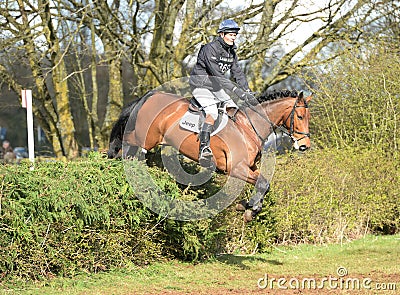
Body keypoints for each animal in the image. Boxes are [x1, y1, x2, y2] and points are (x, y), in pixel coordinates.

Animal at [108, 89, 310, 222]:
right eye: (300, 116)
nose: (304, 146)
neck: (248, 126)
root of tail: (150, 96)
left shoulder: (250, 167)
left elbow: (264, 184)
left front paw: (247, 207)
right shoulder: (236, 168)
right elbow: (263, 183)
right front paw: (250, 210)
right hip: (144, 139)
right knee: (121, 146)